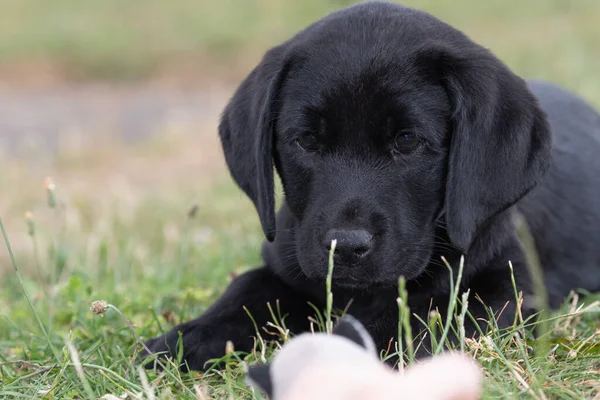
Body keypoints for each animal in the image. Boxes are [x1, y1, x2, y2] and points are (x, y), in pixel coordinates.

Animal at [144, 0, 600, 372]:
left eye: (407, 141)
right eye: (306, 140)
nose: (344, 247)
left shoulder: (508, 284)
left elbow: (429, 315)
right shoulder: (284, 262)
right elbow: (246, 290)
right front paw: (184, 340)